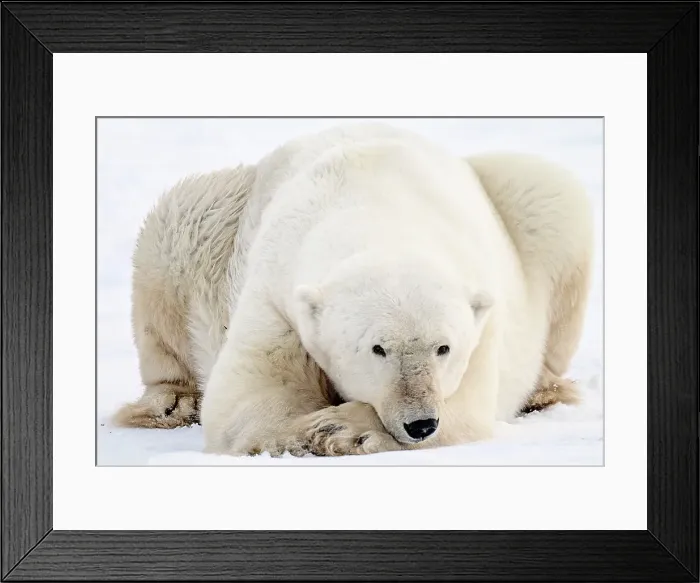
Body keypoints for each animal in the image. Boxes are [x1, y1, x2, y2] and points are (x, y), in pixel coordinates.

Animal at [112, 123, 593, 457]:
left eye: (444, 348)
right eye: (378, 348)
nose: (421, 423)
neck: (378, 212)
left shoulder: (481, 316)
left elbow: (469, 410)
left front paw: (345, 428)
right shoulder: (278, 292)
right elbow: (246, 397)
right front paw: (313, 429)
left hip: (523, 207)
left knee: (552, 196)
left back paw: (546, 392)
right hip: (221, 217)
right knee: (175, 229)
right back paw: (169, 404)